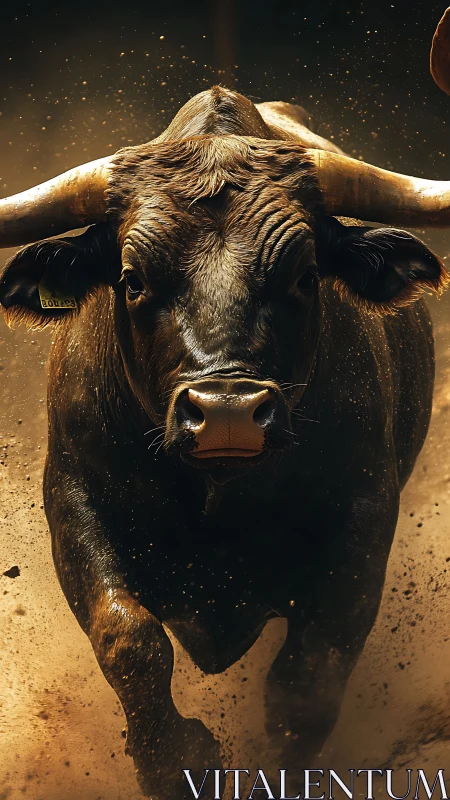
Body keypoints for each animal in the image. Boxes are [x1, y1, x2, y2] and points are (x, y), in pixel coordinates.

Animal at [1, 9, 450, 798]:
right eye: (132, 277)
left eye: (305, 274)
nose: (228, 412)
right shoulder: (73, 499)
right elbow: (128, 636)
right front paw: (174, 759)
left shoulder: (363, 519)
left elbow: (306, 682)